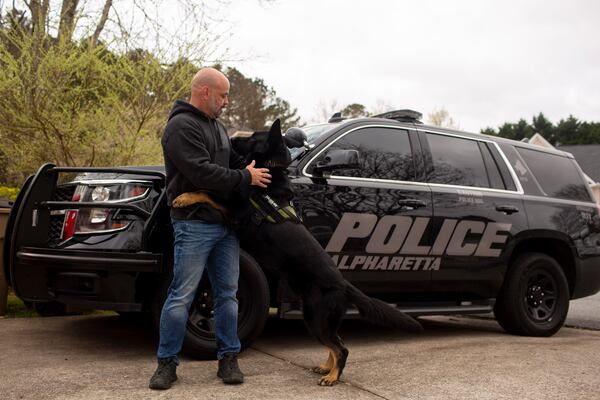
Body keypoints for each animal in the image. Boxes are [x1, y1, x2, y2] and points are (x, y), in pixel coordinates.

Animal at [171, 120, 422, 386]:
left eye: (253, 137)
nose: (232, 139)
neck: (270, 170)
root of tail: (344, 285)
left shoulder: (235, 213)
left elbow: (207, 193)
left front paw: (183, 197)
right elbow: (209, 191)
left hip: (315, 317)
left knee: (341, 348)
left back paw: (333, 377)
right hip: (317, 319)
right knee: (336, 343)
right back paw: (326, 368)